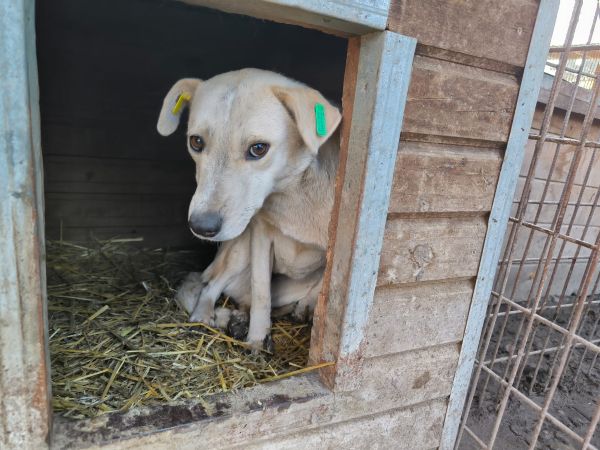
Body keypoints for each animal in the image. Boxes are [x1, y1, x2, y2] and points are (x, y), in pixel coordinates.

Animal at [157, 69, 341, 350]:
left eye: (258, 148)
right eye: (196, 142)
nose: (201, 226)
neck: (292, 196)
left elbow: (323, 288)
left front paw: (309, 310)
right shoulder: (261, 237)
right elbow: (261, 290)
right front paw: (256, 339)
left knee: (246, 299)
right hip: (239, 251)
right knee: (212, 286)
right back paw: (207, 317)